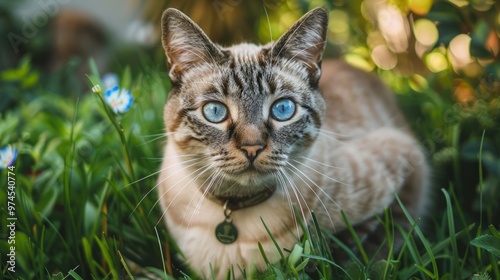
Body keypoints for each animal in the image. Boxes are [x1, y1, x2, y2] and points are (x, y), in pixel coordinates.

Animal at [157, 7, 430, 280]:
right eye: (215, 111)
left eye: (283, 109)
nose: (252, 147)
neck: (234, 209)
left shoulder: (407, 157)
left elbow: (380, 241)